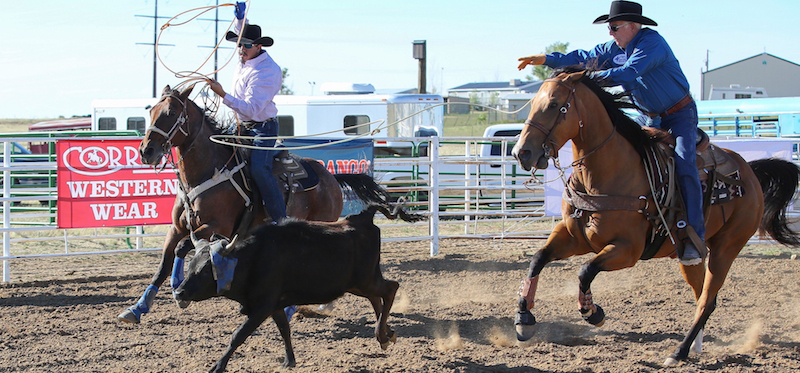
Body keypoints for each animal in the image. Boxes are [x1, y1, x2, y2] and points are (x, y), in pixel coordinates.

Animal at [119, 84, 394, 322]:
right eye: (152, 112)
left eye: (172, 113)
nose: (146, 151)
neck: (207, 172)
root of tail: (331, 177)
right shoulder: (176, 228)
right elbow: (163, 264)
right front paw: (138, 308)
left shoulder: (216, 226)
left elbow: (181, 248)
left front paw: (179, 291)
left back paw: (296, 309)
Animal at [512, 68, 800, 364]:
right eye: (533, 104)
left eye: (555, 105)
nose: (521, 153)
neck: (605, 174)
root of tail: (750, 171)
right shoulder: (573, 237)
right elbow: (538, 259)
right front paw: (524, 319)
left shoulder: (628, 249)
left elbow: (585, 270)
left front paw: (593, 312)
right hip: (691, 255)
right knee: (700, 294)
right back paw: (695, 346)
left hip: (727, 247)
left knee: (708, 300)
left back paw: (679, 351)